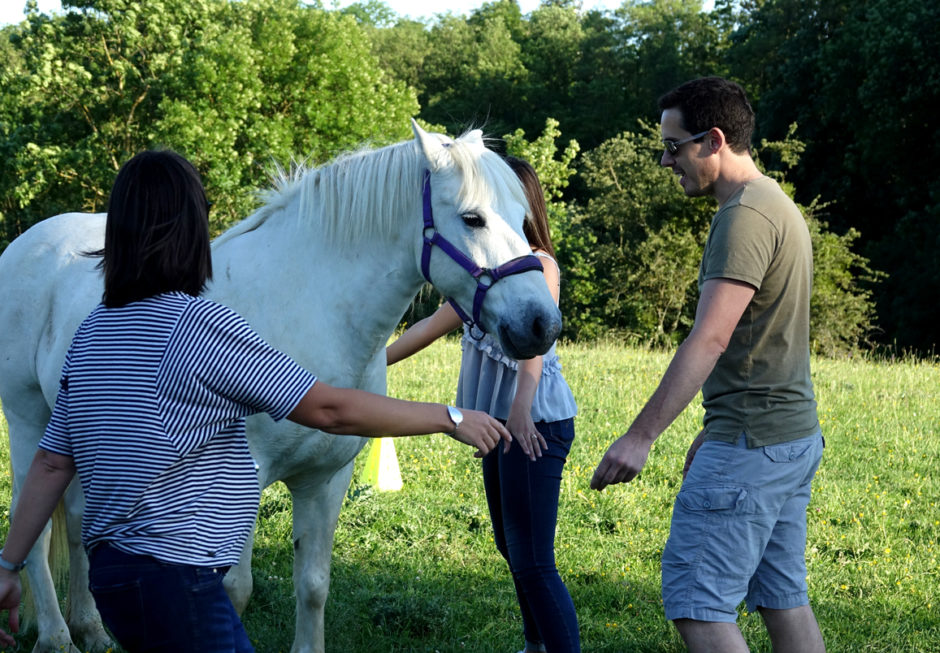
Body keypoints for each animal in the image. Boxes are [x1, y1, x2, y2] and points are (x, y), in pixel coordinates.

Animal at [0, 119, 560, 648]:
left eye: (521, 219)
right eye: (472, 218)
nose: (542, 324)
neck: (311, 308)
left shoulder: (326, 480)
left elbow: (313, 585)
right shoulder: (239, 480)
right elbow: (234, 589)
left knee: (75, 519)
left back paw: (91, 629)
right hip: (29, 420)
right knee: (31, 521)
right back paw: (56, 637)